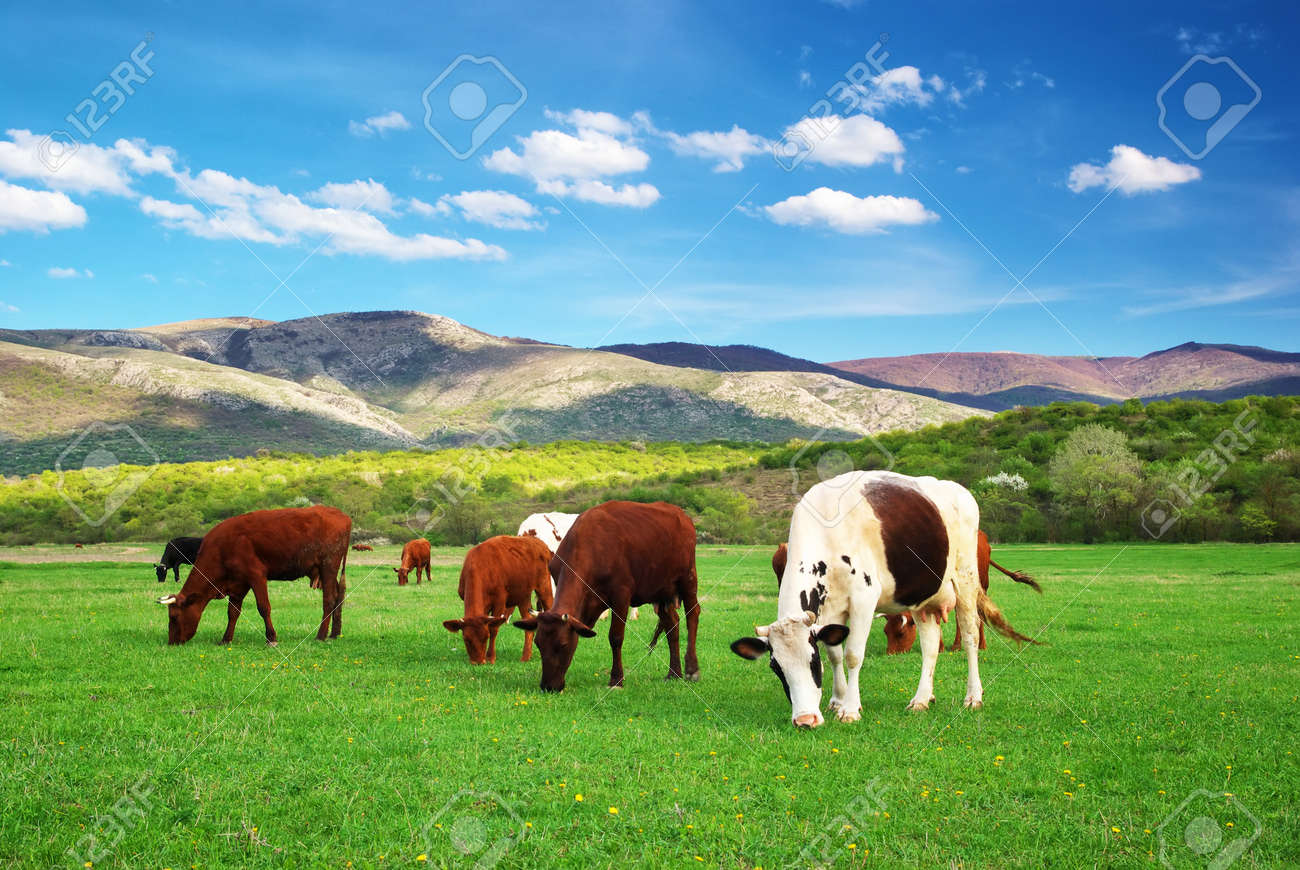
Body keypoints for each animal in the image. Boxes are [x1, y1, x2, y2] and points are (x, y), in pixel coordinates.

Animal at [156, 505, 350, 646]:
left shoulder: (256, 576)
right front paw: (226, 639)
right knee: (337, 597)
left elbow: (263, 607)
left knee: (329, 600)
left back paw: (321, 635)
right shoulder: (238, 584)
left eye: (174, 617)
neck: (221, 548)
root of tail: (341, 514)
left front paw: (271, 638)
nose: (171, 642)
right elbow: (232, 612)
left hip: (328, 566)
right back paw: (334, 633)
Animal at [443, 535, 554, 664]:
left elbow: (493, 628)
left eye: (486, 637)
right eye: (466, 639)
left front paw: (490, 657)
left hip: (544, 586)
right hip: (523, 595)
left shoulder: (500, 602)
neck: (478, 566)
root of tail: (538, 542)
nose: (478, 662)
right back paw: (526, 656)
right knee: (528, 619)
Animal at [512, 500, 700, 692]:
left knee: (693, 615)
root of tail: (681, 515)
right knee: (672, 624)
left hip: (688, 579)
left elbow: (615, 637)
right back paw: (674, 673)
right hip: (660, 591)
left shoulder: (621, 597)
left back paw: (692, 668)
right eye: (539, 644)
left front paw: (616, 679)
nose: (548, 686)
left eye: (563, 645)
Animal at [732, 471, 1035, 727]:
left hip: (966, 580)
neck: (827, 530)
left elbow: (853, 655)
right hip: (923, 599)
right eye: (776, 668)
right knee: (930, 645)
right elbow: (836, 653)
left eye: (812, 661)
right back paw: (922, 698)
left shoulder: (863, 600)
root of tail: (959, 490)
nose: (805, 720)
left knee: (971, 634)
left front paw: (850, 709)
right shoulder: (830, 610)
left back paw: (973, 696)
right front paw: (837, 699)